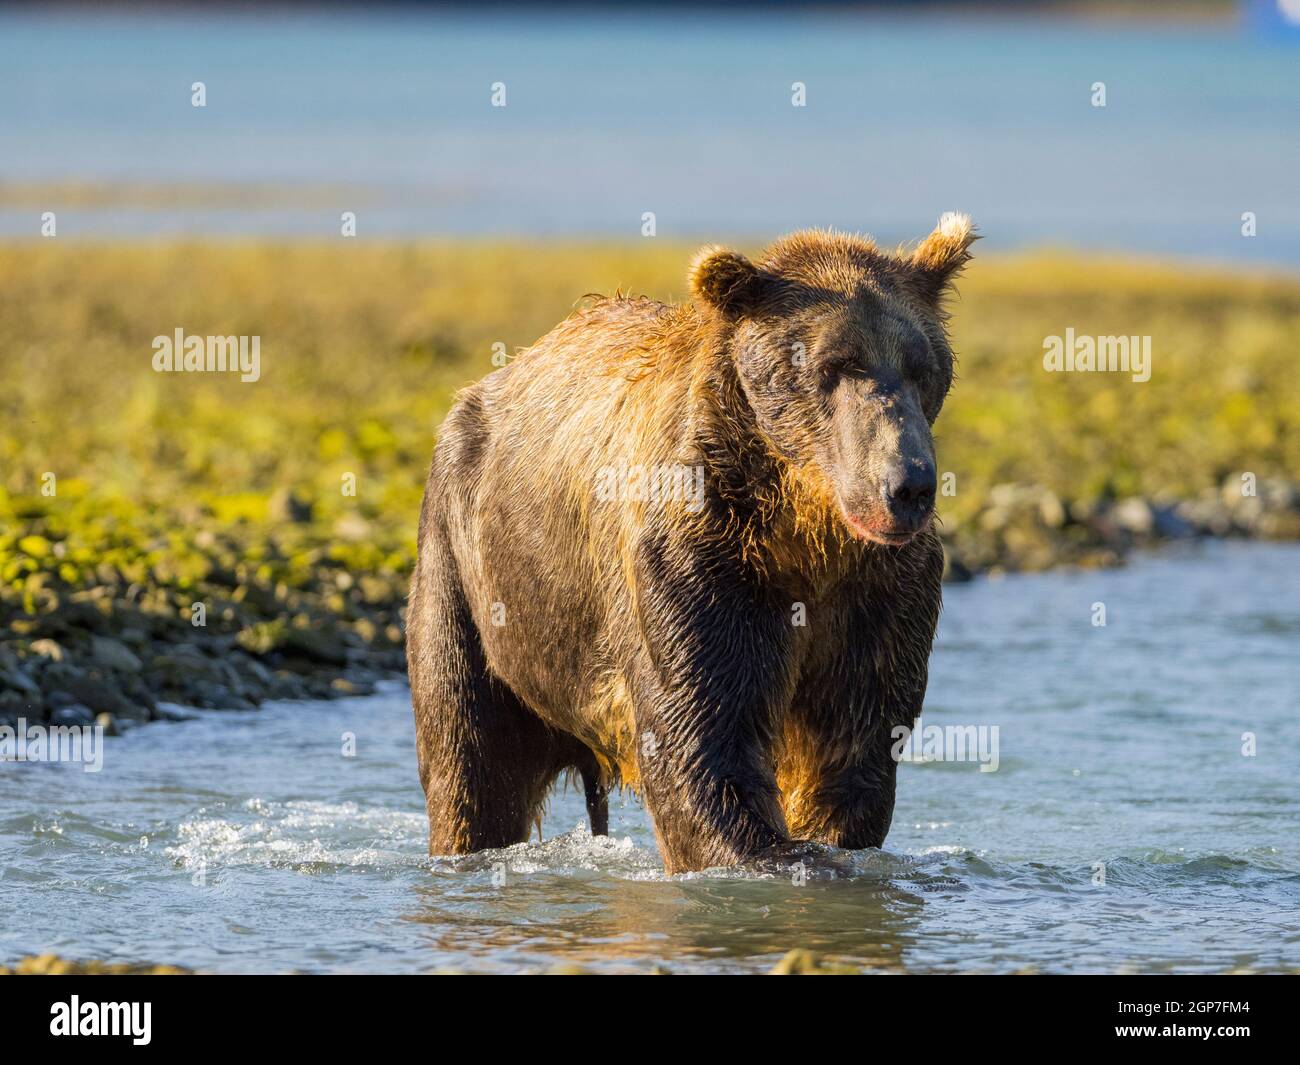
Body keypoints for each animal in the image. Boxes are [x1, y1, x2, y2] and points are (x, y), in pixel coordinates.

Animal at [405, 211, 977, 868]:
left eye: (922, 367)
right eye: (834, 366)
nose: (906, 485)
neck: (803, 531)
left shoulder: (877, 592)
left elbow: (852, 744)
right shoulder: (700, 557)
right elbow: (703, 736)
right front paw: (769, 854)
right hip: (475, 569)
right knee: (469, 750)